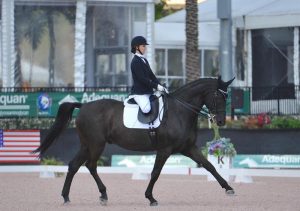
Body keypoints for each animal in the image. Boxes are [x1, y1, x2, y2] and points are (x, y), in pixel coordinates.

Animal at [32, 76, 234, 206]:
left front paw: (228, 188)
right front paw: (151, 198)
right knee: (90, 165)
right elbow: (155, 173)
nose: (221, 121)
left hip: (86, 145)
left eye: (227, 96)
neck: (180, 111)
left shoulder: (188, 148)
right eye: (218, 95)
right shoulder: (165, 150)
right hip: (96, 144)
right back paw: (102, 195)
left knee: (74, 165)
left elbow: (209, 166)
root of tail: (83, 106)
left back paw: (67, 197)